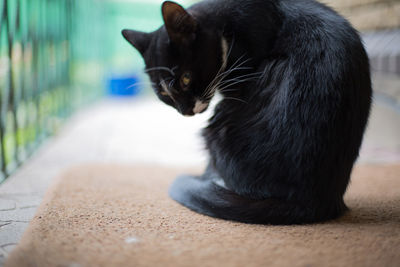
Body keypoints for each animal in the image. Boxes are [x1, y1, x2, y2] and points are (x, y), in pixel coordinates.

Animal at [122, 0, 372, 225]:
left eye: (185, 79)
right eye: (163, 93)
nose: (186, 112)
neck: (226, 27)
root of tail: (311, 201)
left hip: (221, 123)